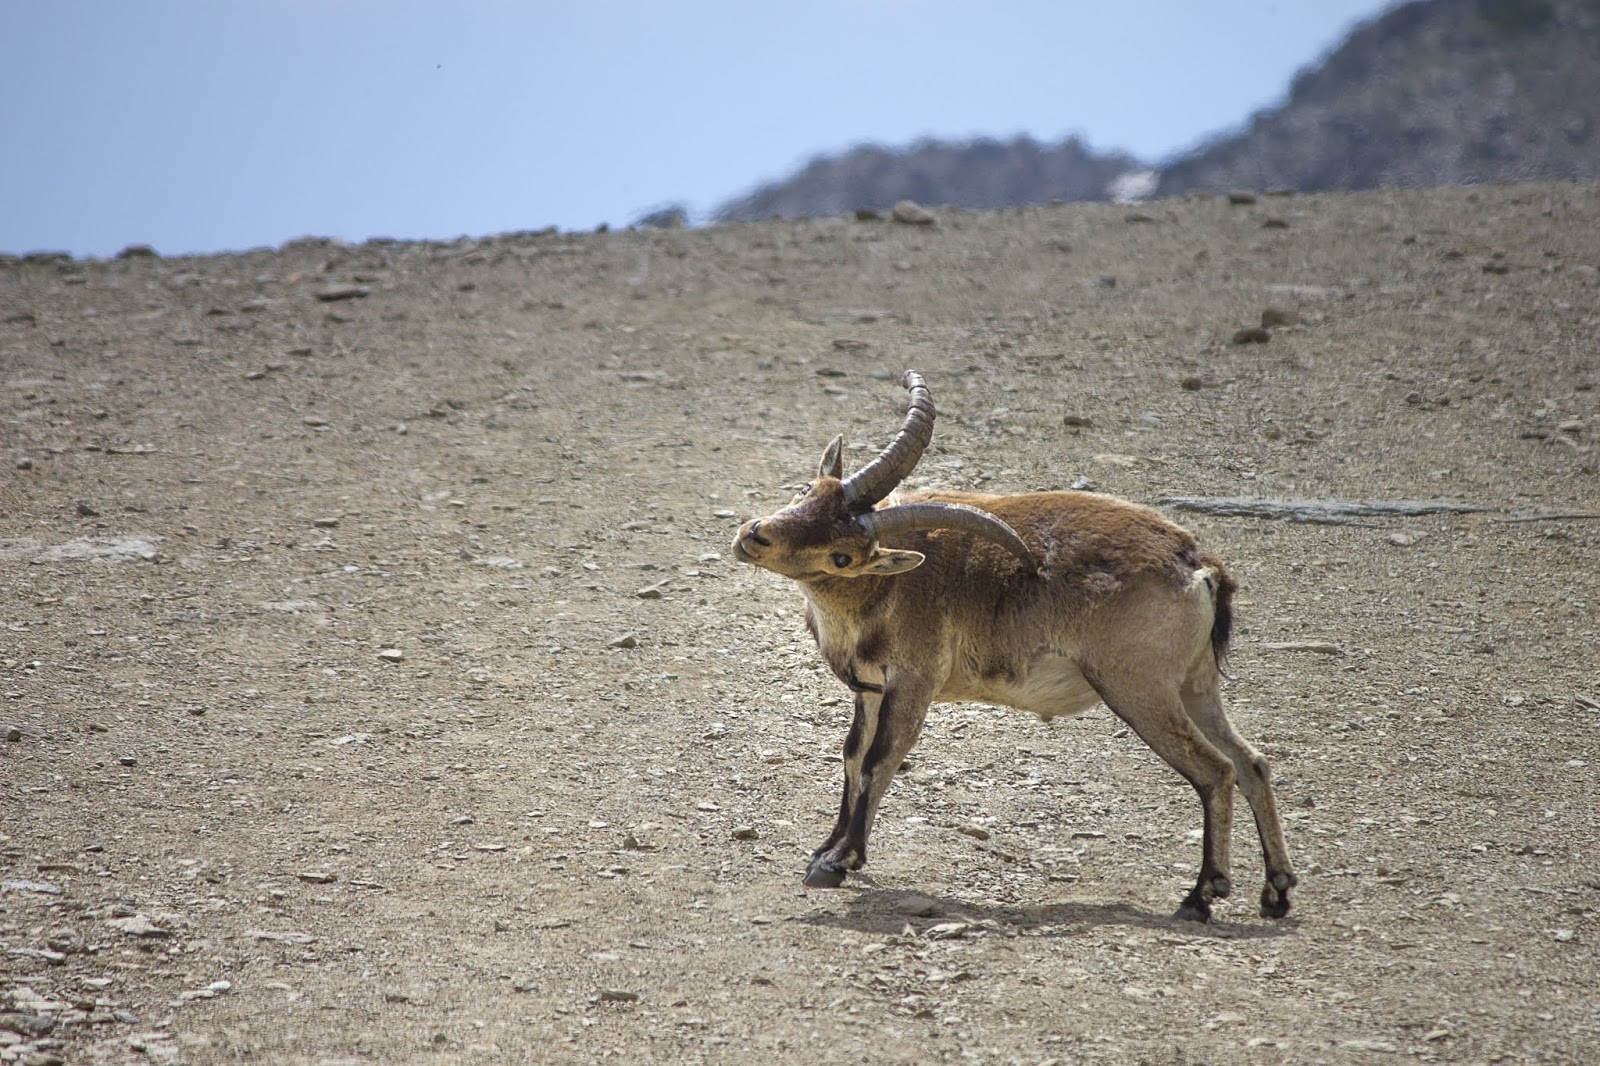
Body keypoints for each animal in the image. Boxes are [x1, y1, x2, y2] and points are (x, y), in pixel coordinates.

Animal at [731, 371, 1296, 922]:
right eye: (809, 489)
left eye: (843, 556)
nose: (753, 536)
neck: (882, 588)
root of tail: (1201, 566)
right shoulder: (869, 689)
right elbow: (852, 755)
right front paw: (826, 850)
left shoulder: (913, 681)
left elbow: (880, 759)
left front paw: (838, 862)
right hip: (1194, 686)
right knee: (1252, 762)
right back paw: (1276, 891)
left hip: (1140, 688)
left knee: (1215, 770)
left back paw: (1201, 895)